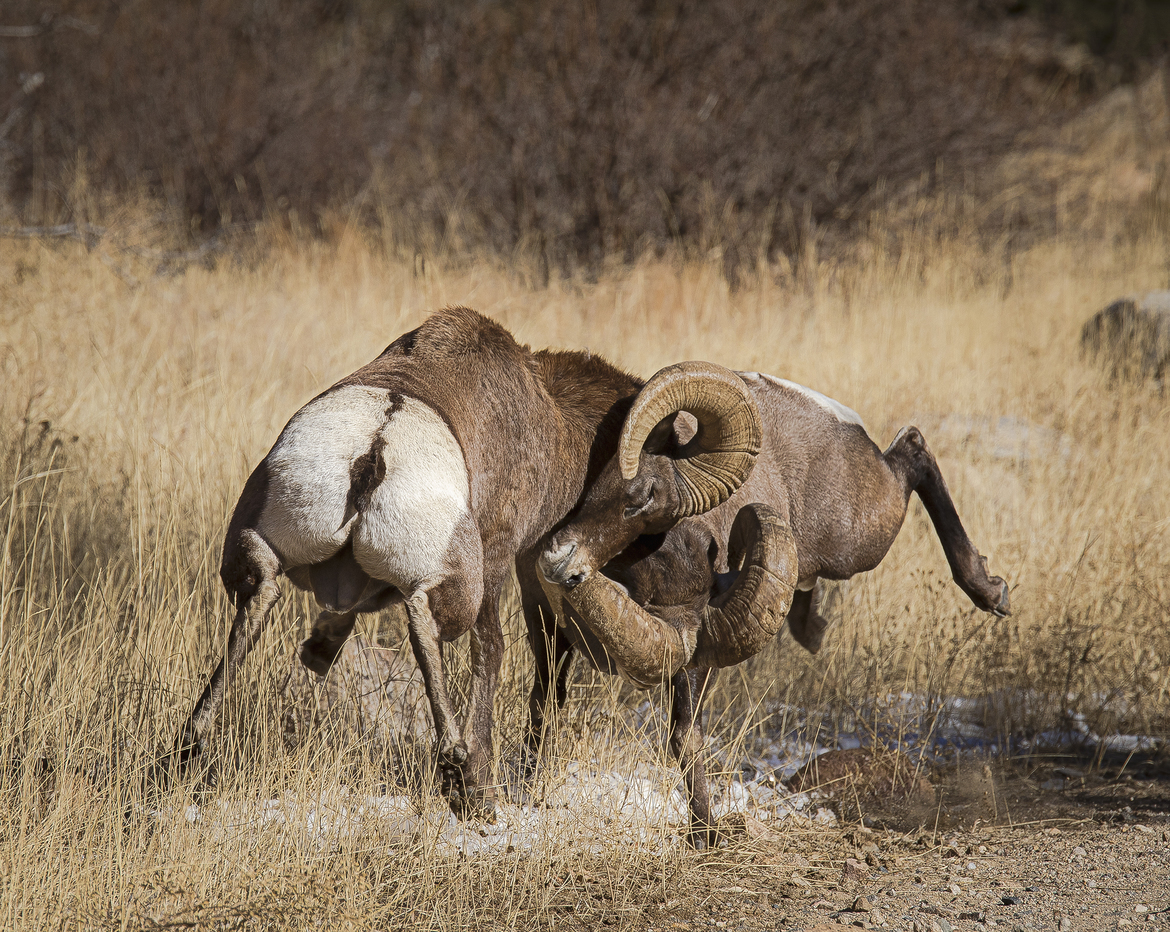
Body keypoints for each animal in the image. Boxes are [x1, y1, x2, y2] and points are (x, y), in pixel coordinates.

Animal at [535, 362, 1011, 846]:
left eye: (648, 494)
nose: (558, 557)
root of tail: (837, 419)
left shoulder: (696, 647)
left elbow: (686, 734)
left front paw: (705, 833)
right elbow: (683, 737)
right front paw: (702, 830)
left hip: (863, 537)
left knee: (913, 450)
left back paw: (991, 592)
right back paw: (812, 629)